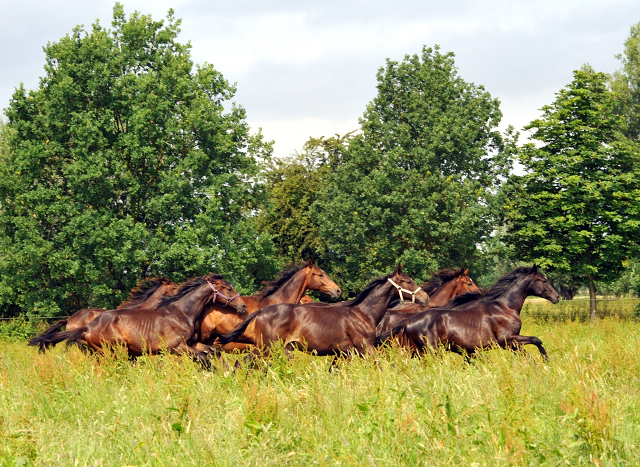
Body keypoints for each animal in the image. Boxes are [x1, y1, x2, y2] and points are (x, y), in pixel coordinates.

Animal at [218, 266, 428, 360]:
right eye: (408, 281)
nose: (425, 298)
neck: (362, 314)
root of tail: (262, 311)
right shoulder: (366, 348)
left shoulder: (345, 354)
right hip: (268, 349)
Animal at [376, 266, 560, 362]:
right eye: (543, 280)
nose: (557, 296)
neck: (505, 307)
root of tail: (408, 321)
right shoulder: (507, 340)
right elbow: (536, 340)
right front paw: (546, 360)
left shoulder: (512, 343)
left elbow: (528, 355)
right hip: (430, 351)